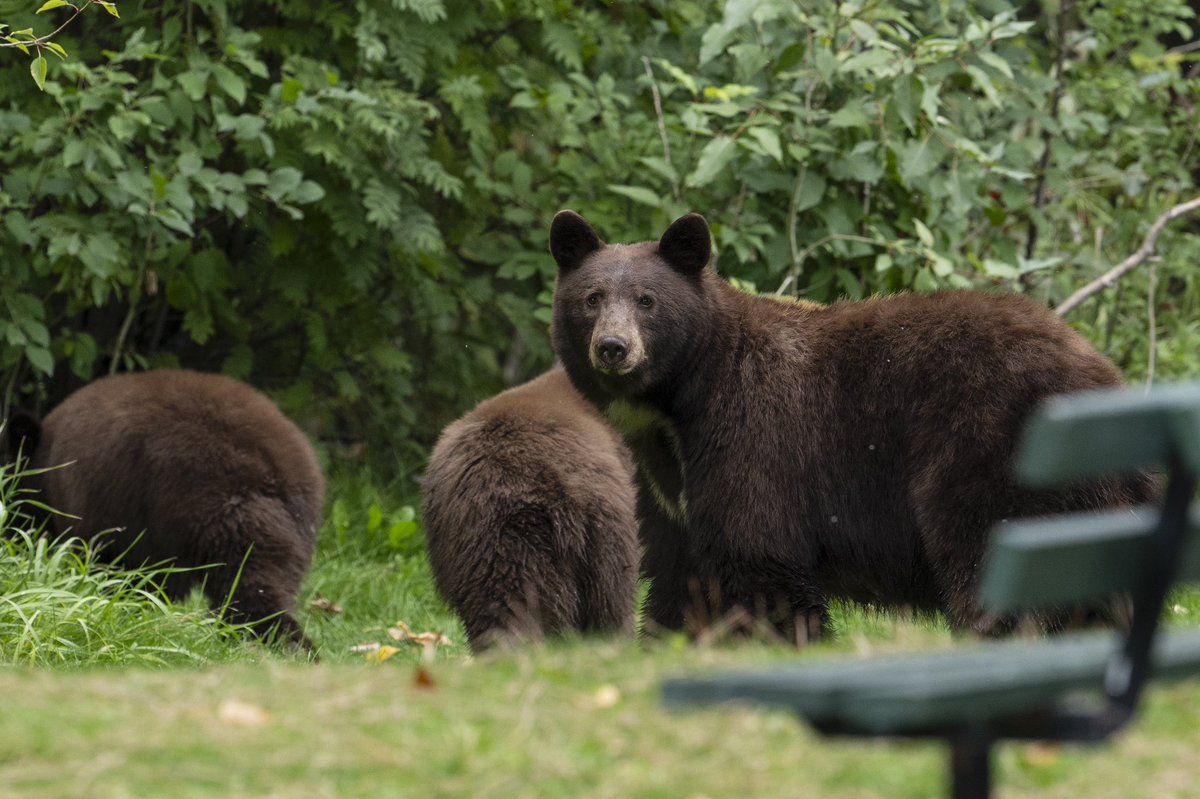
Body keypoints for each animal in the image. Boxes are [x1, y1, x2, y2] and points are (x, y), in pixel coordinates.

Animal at [549, 210, 1154, 643]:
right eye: (591, 298)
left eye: (647, 300)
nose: (613, 347)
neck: (679, 407)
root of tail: (1100, 374)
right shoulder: (666, 491)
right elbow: (680, 573)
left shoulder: (753, 437)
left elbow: (759, 558)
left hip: (990, 446)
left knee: (989, 550)